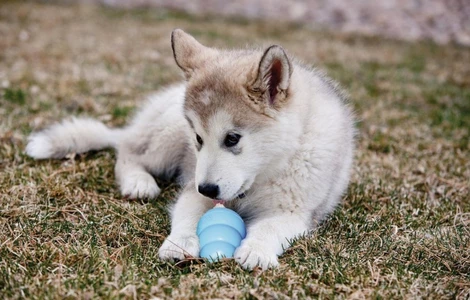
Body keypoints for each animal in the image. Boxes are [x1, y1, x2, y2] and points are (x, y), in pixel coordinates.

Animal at [25, 29, 354, 270]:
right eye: (198, 138)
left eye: (232, 138)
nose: (207, 188)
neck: (268, 170)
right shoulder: (192, 186)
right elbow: (187, 215)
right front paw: (180, 243)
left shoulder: (296, 213)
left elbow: (270, 228)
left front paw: (257, 250)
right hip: (167, 133)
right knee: (128, 152)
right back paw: (138, 182)